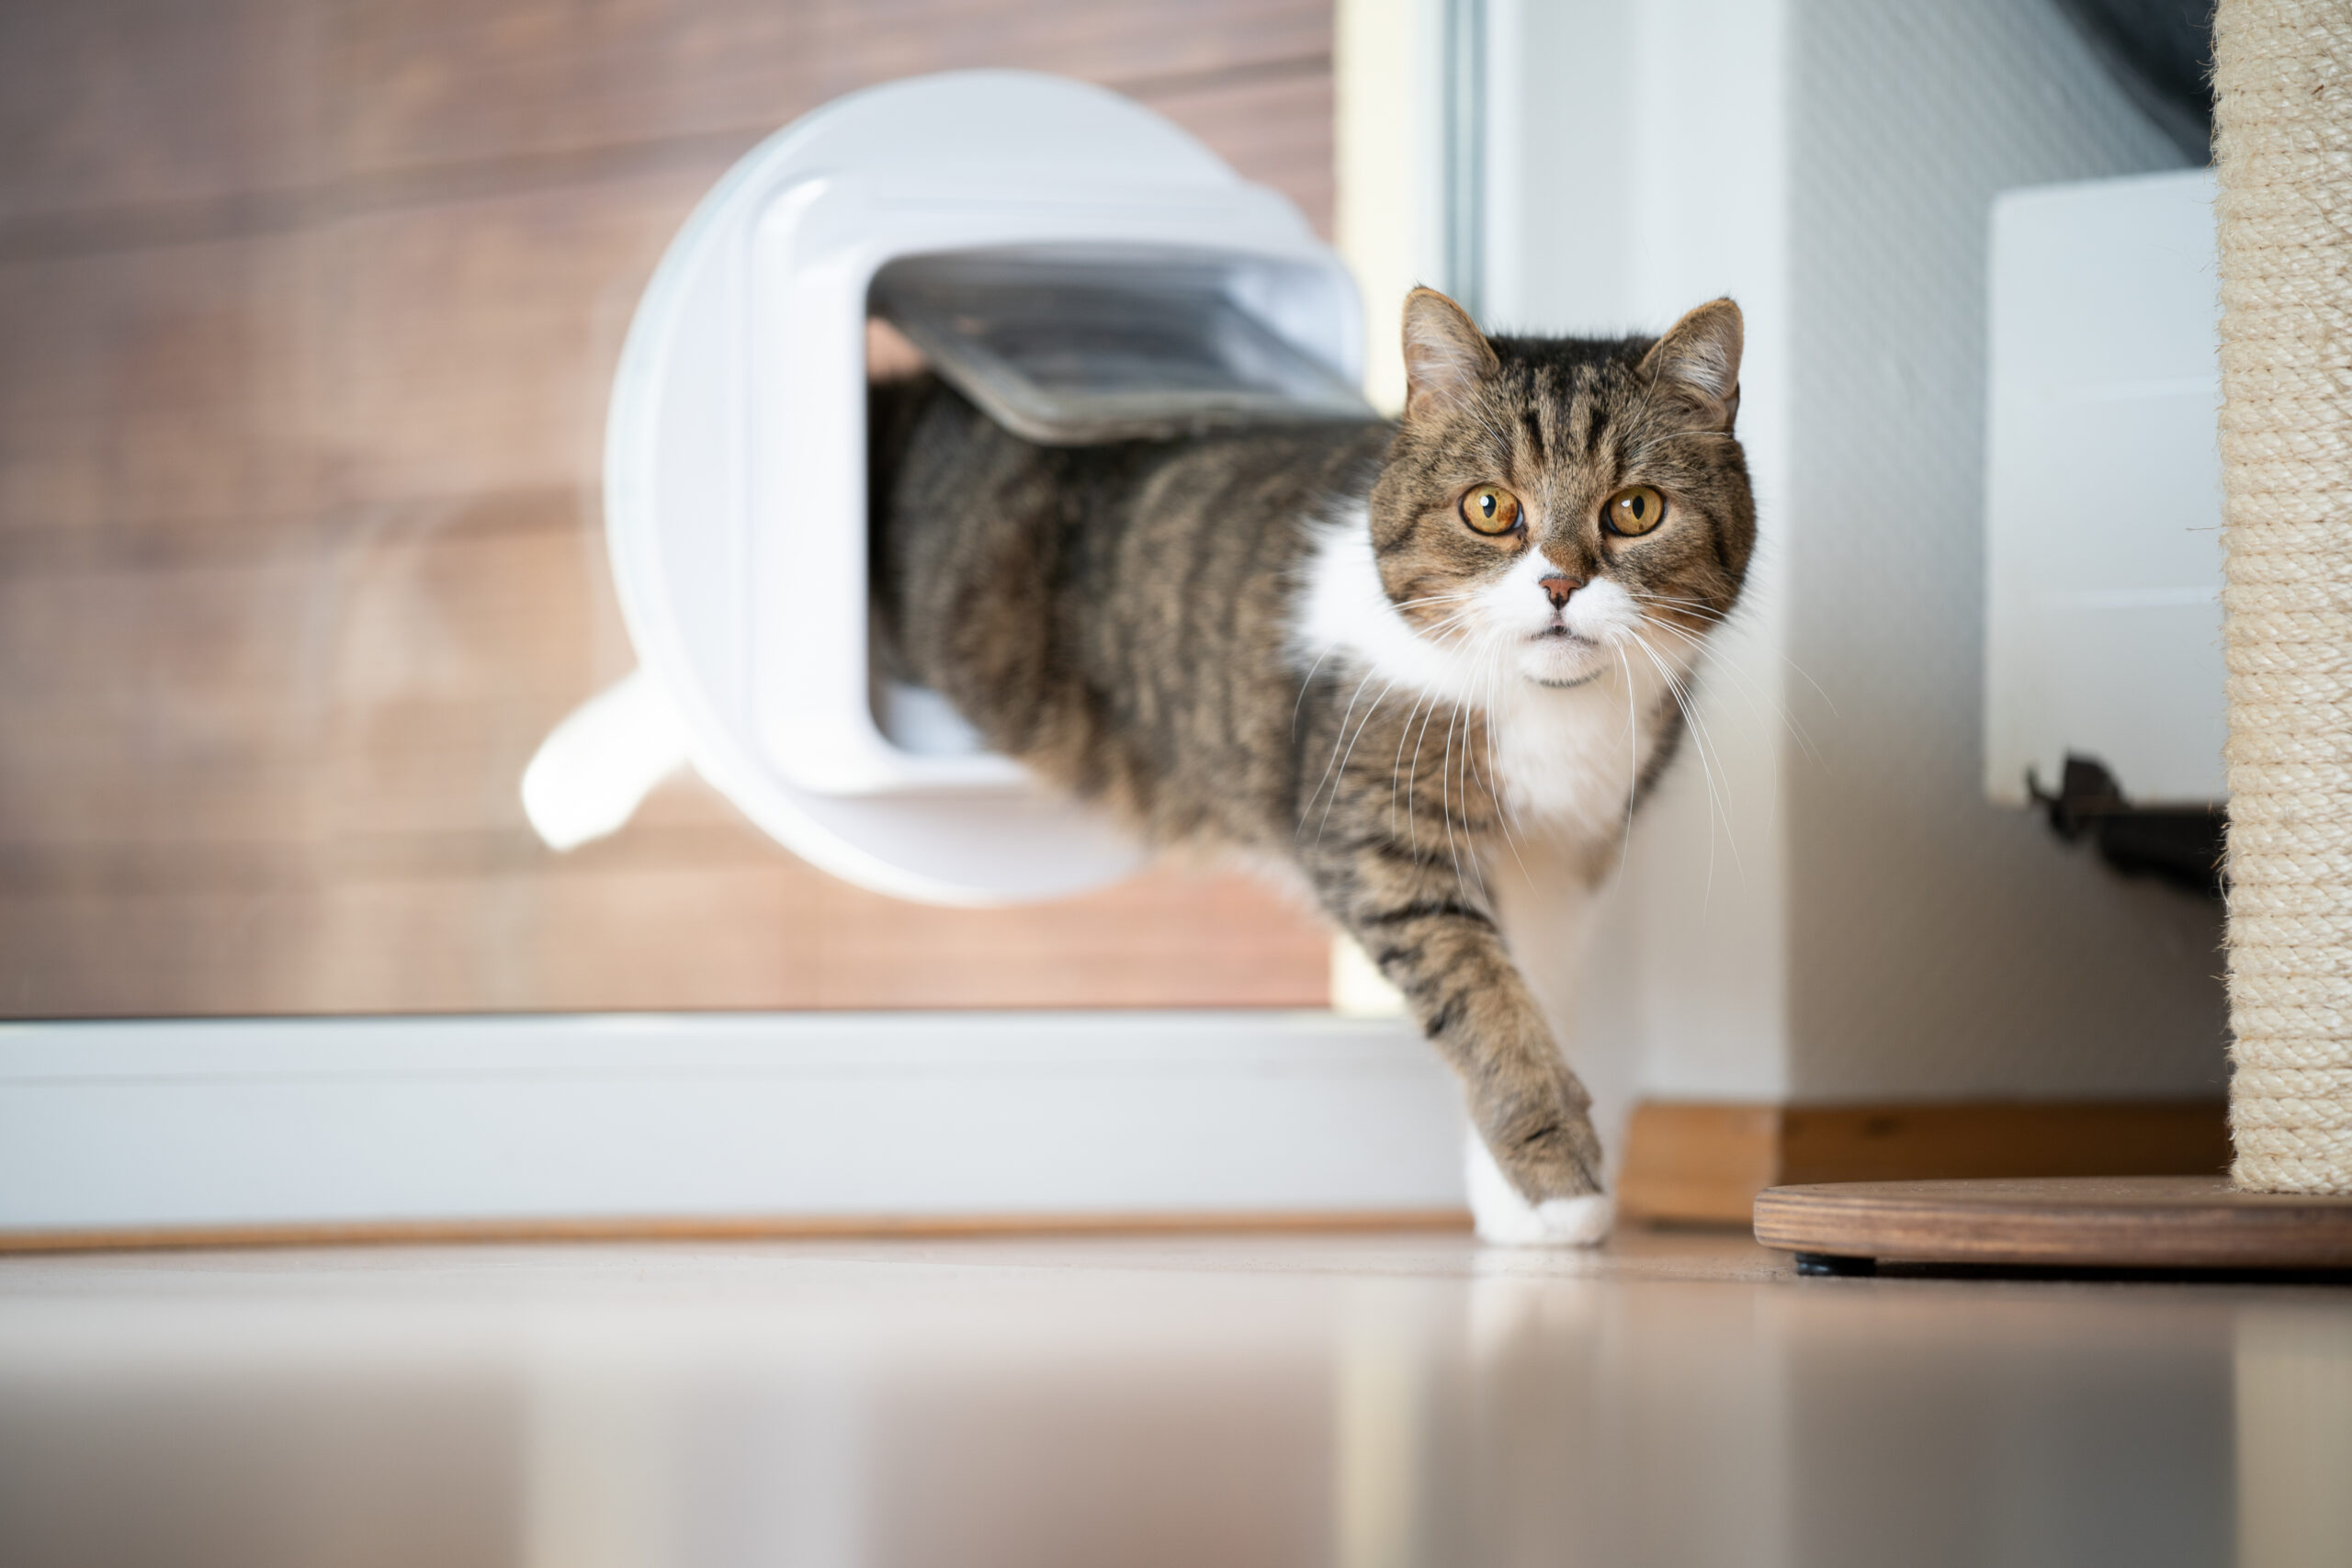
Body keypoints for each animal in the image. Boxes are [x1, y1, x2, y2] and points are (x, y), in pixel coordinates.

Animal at [875, 288, 1758, 1241]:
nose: (1559, 585)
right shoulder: (1381, 839)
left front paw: (1520, 1205)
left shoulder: (1563, 864)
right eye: (1490, 507)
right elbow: (1483, 997)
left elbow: (1536, 995)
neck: (1548, 710)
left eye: (1636, 509)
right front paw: (1557, 1178)